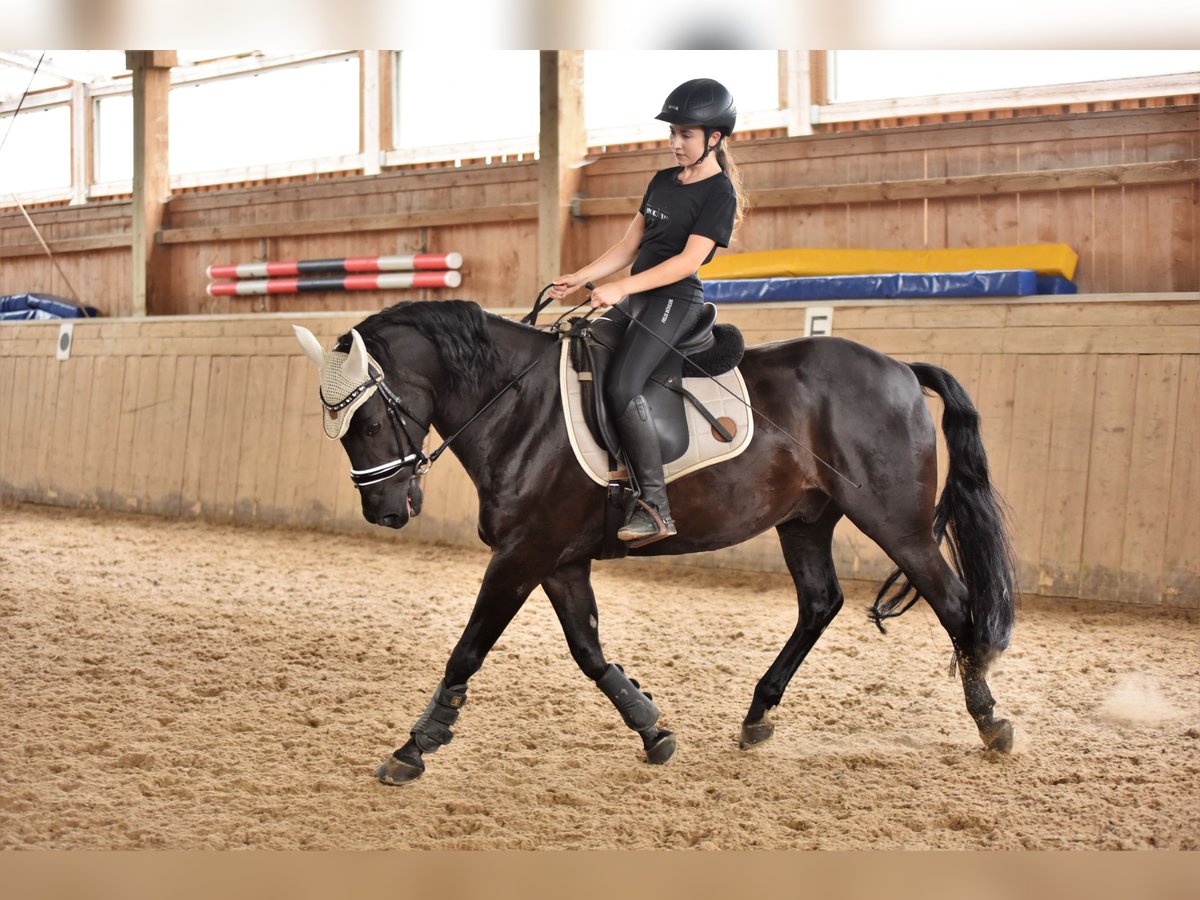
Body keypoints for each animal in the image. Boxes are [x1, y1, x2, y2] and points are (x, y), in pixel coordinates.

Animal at [292, 300, 1012, 787]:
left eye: (371, 420)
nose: (385, 511)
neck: (519, 408)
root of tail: (899, 369)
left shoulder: (523, 554)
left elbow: (468, 649)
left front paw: (416, 745)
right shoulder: (560, 561)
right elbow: (588, 652)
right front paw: (651, 726)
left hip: (895, 522)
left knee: (955, 605)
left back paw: (991, 723)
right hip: (806, 519)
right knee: (819, 602)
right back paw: (758, 714)